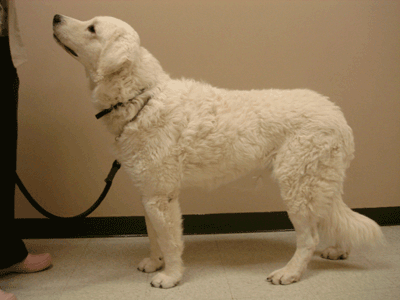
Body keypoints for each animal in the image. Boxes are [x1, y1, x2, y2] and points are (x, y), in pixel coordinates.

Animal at [53, 14, 384, 288]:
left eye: (92, 28)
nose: (56, 16)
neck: (141, 97)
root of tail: (338, 116)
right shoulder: (148, 192)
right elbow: (153, 236)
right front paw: (154, 263)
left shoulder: (162, 197)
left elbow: (170, 242)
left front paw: (170, 277)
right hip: (317, 182)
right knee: (332, 217)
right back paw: (339, 250)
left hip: (297, 186)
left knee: (309, 238)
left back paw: (289, 273)